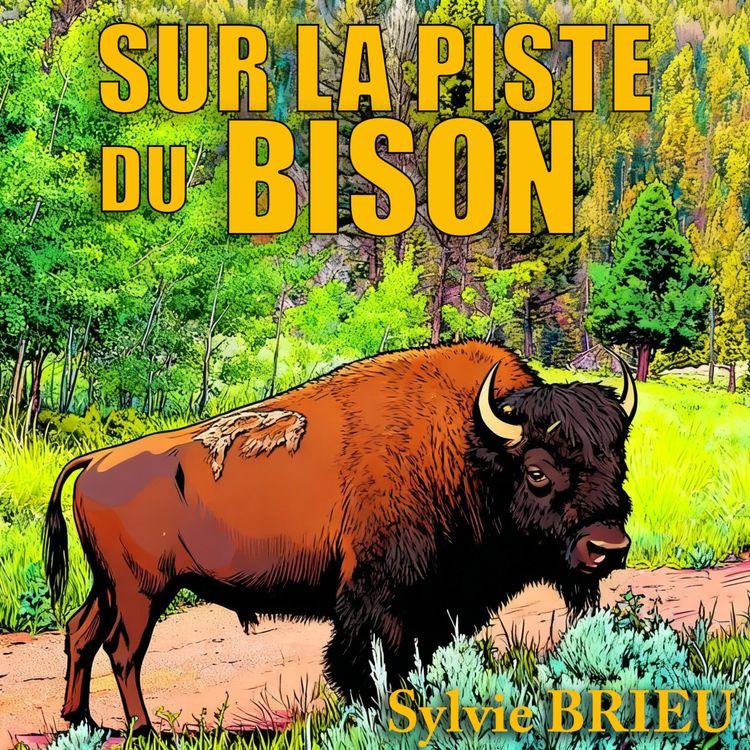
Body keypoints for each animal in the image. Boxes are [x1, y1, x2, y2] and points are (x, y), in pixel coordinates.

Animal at [43, 341, 636, 732]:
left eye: (619, 463)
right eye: (537, 471)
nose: (607, 547)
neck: (467, 449)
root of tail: (96, 460)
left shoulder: (436, 604)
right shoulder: (379, 597)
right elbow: (373, 659)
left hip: (109, 586)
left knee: (81, 632)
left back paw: (81, 720)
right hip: (141, 591)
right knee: (124, 650)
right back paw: (144, 731)